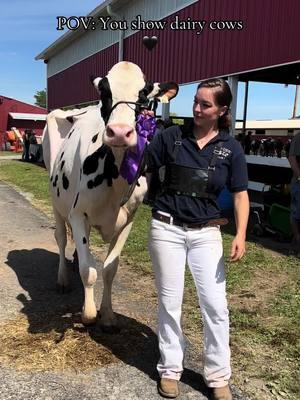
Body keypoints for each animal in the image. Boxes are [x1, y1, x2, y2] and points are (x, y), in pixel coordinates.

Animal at [42, 61, 178, 332]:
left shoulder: (128, 220)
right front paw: (88, 313)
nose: (120, 132)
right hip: (56, 201)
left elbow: (109, 269)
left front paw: (107, 315)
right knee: (60, 238)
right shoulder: (77, 214)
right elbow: (89, 270)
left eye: (144, 94)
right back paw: (62, 279)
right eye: (104, 92)